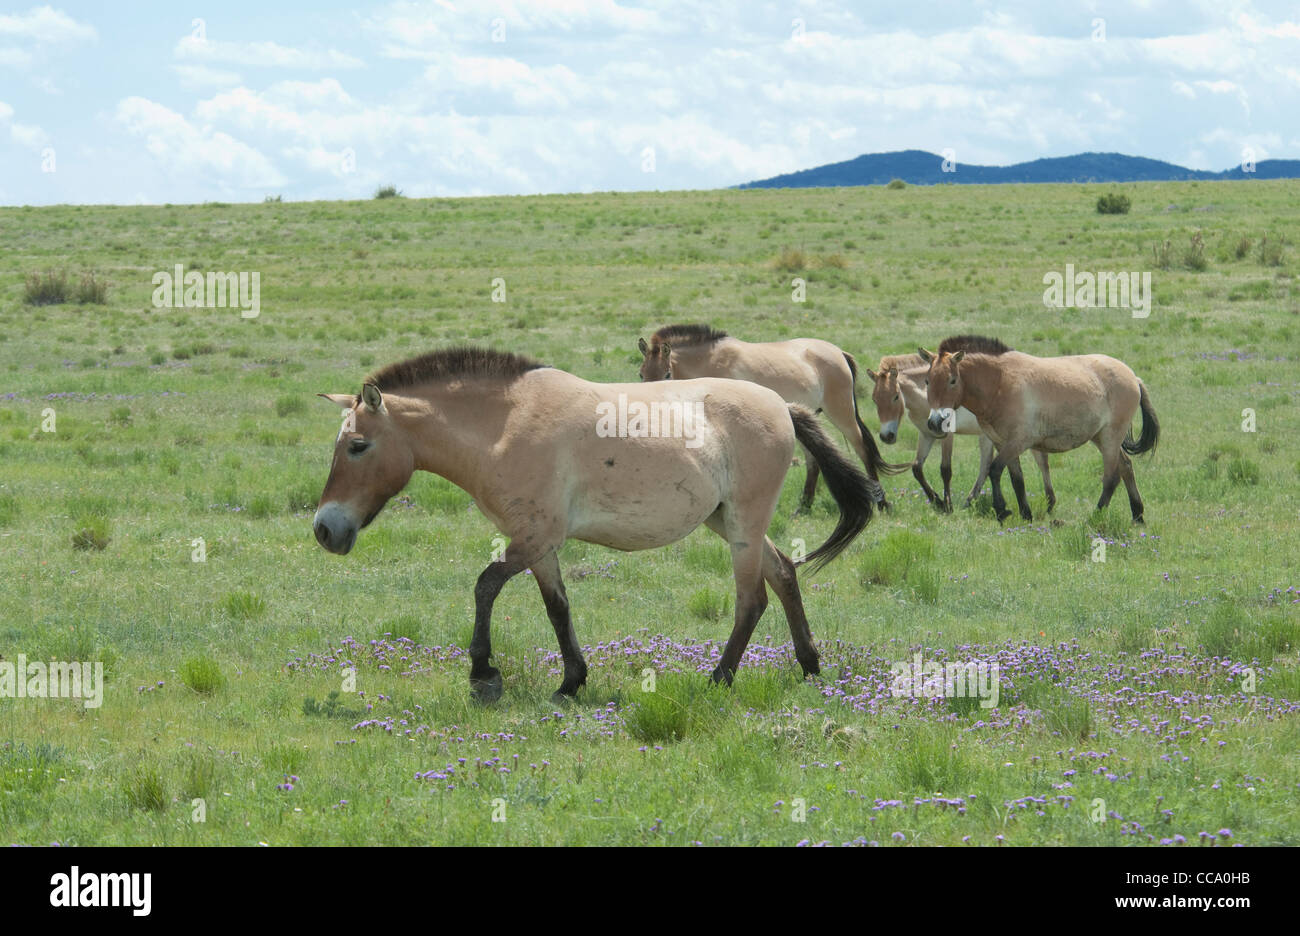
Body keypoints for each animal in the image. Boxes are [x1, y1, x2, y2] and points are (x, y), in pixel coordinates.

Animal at [310, 351, 878, 702]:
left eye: (357, 446)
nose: (324, 530)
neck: (502, 425)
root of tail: (781, 405)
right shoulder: (539, 547)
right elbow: (557, 608)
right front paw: (571, 682)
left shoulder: (535, 538)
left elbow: (485, 585)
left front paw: (483, 674)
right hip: (729, 521)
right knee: (783, 574)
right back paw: (809, 666)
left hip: (743, 523)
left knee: (752, 599)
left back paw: (719, 679)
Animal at [631, 323, 899, 512]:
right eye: (641, 374)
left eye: (667, 374)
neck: (710, 363)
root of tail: (839, 352)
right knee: (813, 461)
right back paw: (804, 506)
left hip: (841, 414)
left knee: (863, 450)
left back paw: (882, 503)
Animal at [863, 351, 1055, 512]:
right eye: (874, 399)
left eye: (895, 397)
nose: (886, 436)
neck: (924, 397)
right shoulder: (926, 435)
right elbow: (917, 468)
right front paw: (937, 501)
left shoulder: (947, 436)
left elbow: (945, 469)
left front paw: (947, 506)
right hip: (989, 437)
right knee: (986, 465)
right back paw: (969, 502)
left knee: (1041, 461)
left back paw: (1049, 503)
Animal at [920, 335, 1164, 525]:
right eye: (927, 381)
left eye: (952, 380)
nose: (934, 422)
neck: (999, 382)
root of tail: (1133, 377)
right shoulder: (1002, 442)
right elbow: (1016, 479)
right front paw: (1025, 514)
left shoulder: (1018, 442)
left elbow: (994, 470)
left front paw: (1002, 510)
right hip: (1101, 438)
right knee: (1126, 467)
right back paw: (1138, 515)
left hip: (1110, 438)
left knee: (1112, 477)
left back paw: (1096, 515)